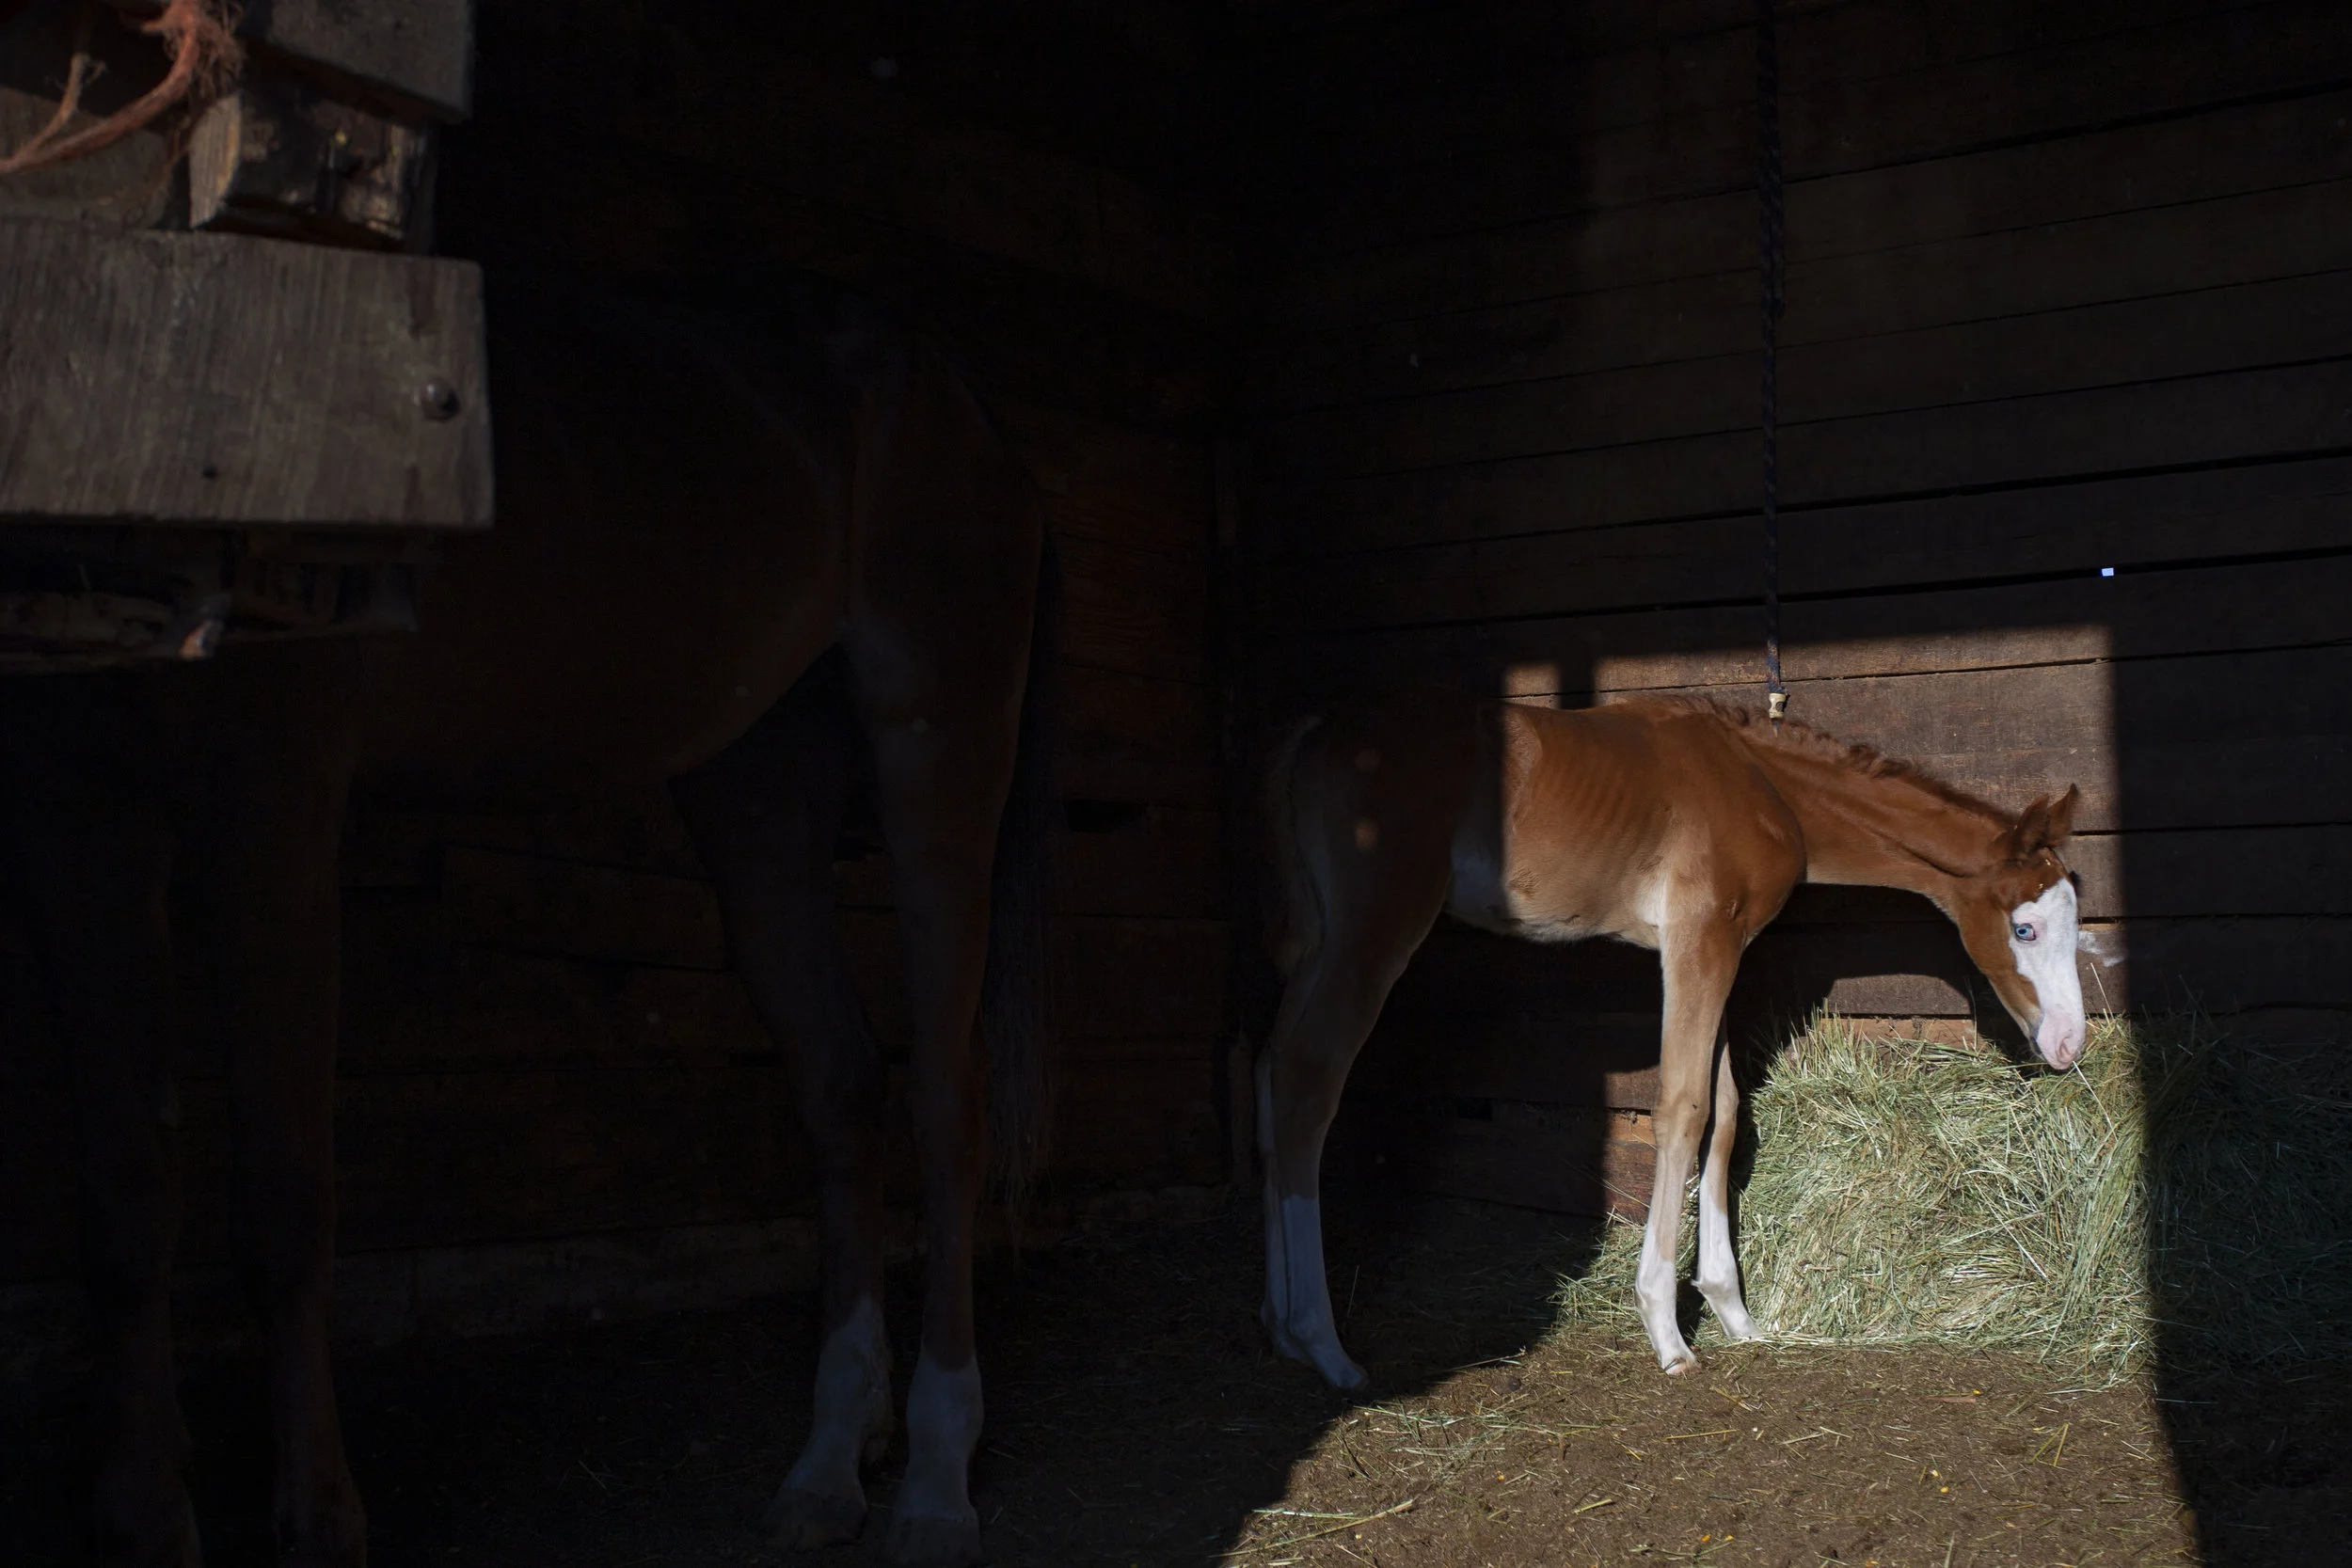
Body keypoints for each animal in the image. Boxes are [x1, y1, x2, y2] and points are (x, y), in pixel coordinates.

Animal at [0, 274, 1051, 1568]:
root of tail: (968, 412)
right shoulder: (79, 822)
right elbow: (125, 1191)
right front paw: (144, 1514)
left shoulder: (272, 804)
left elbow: (284, 1196)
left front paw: (318, 1515)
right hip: (760, 789)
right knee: (842, 1086)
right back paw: (827, 1462)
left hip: (937, 741)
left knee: (946, 1104)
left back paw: (937, 1480)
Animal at [1254, 687, 2086, 1385]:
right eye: (2024, 927)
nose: (2069, 1045)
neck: (1762, 783)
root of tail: (1314, 729)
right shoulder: (1700, 937)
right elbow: (1682, 1108)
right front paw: (1666, 1327)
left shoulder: (1717, 948)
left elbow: (1725, 1114)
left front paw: (1731, 1308)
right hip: (1372, 928)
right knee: (1308, 1082)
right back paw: (1324, 1344)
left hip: (1317, 937)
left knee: (1266, 1070)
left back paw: (1279, 1325)